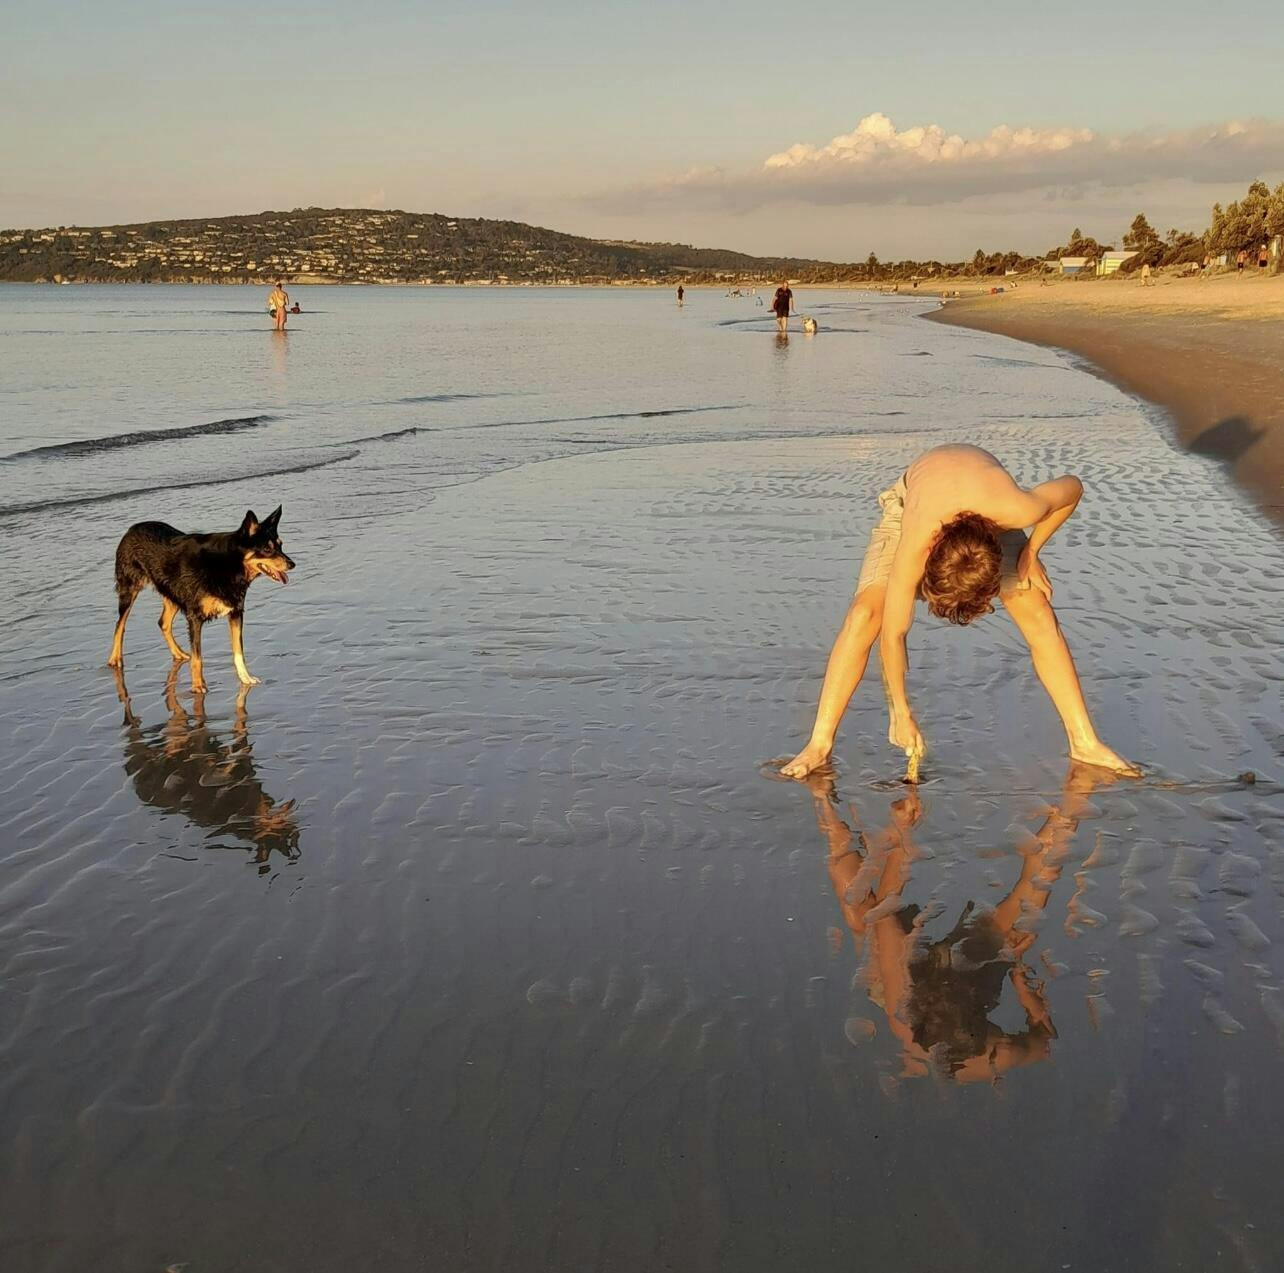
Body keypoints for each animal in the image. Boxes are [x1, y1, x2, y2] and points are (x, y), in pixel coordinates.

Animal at [108, 506, 295, 693]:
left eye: (281, 545)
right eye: (267, 549)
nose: (292, 564)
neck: (229, 564)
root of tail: (132, 529)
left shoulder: (236, 613)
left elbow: (238, 652)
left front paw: (245, 678)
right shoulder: (195, 617)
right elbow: (198, 658)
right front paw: (198, 686)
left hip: (173, 593)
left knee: (163, 623)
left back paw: (178, 653)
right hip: (130, 589)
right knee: (120, 625)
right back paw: (115, 659)